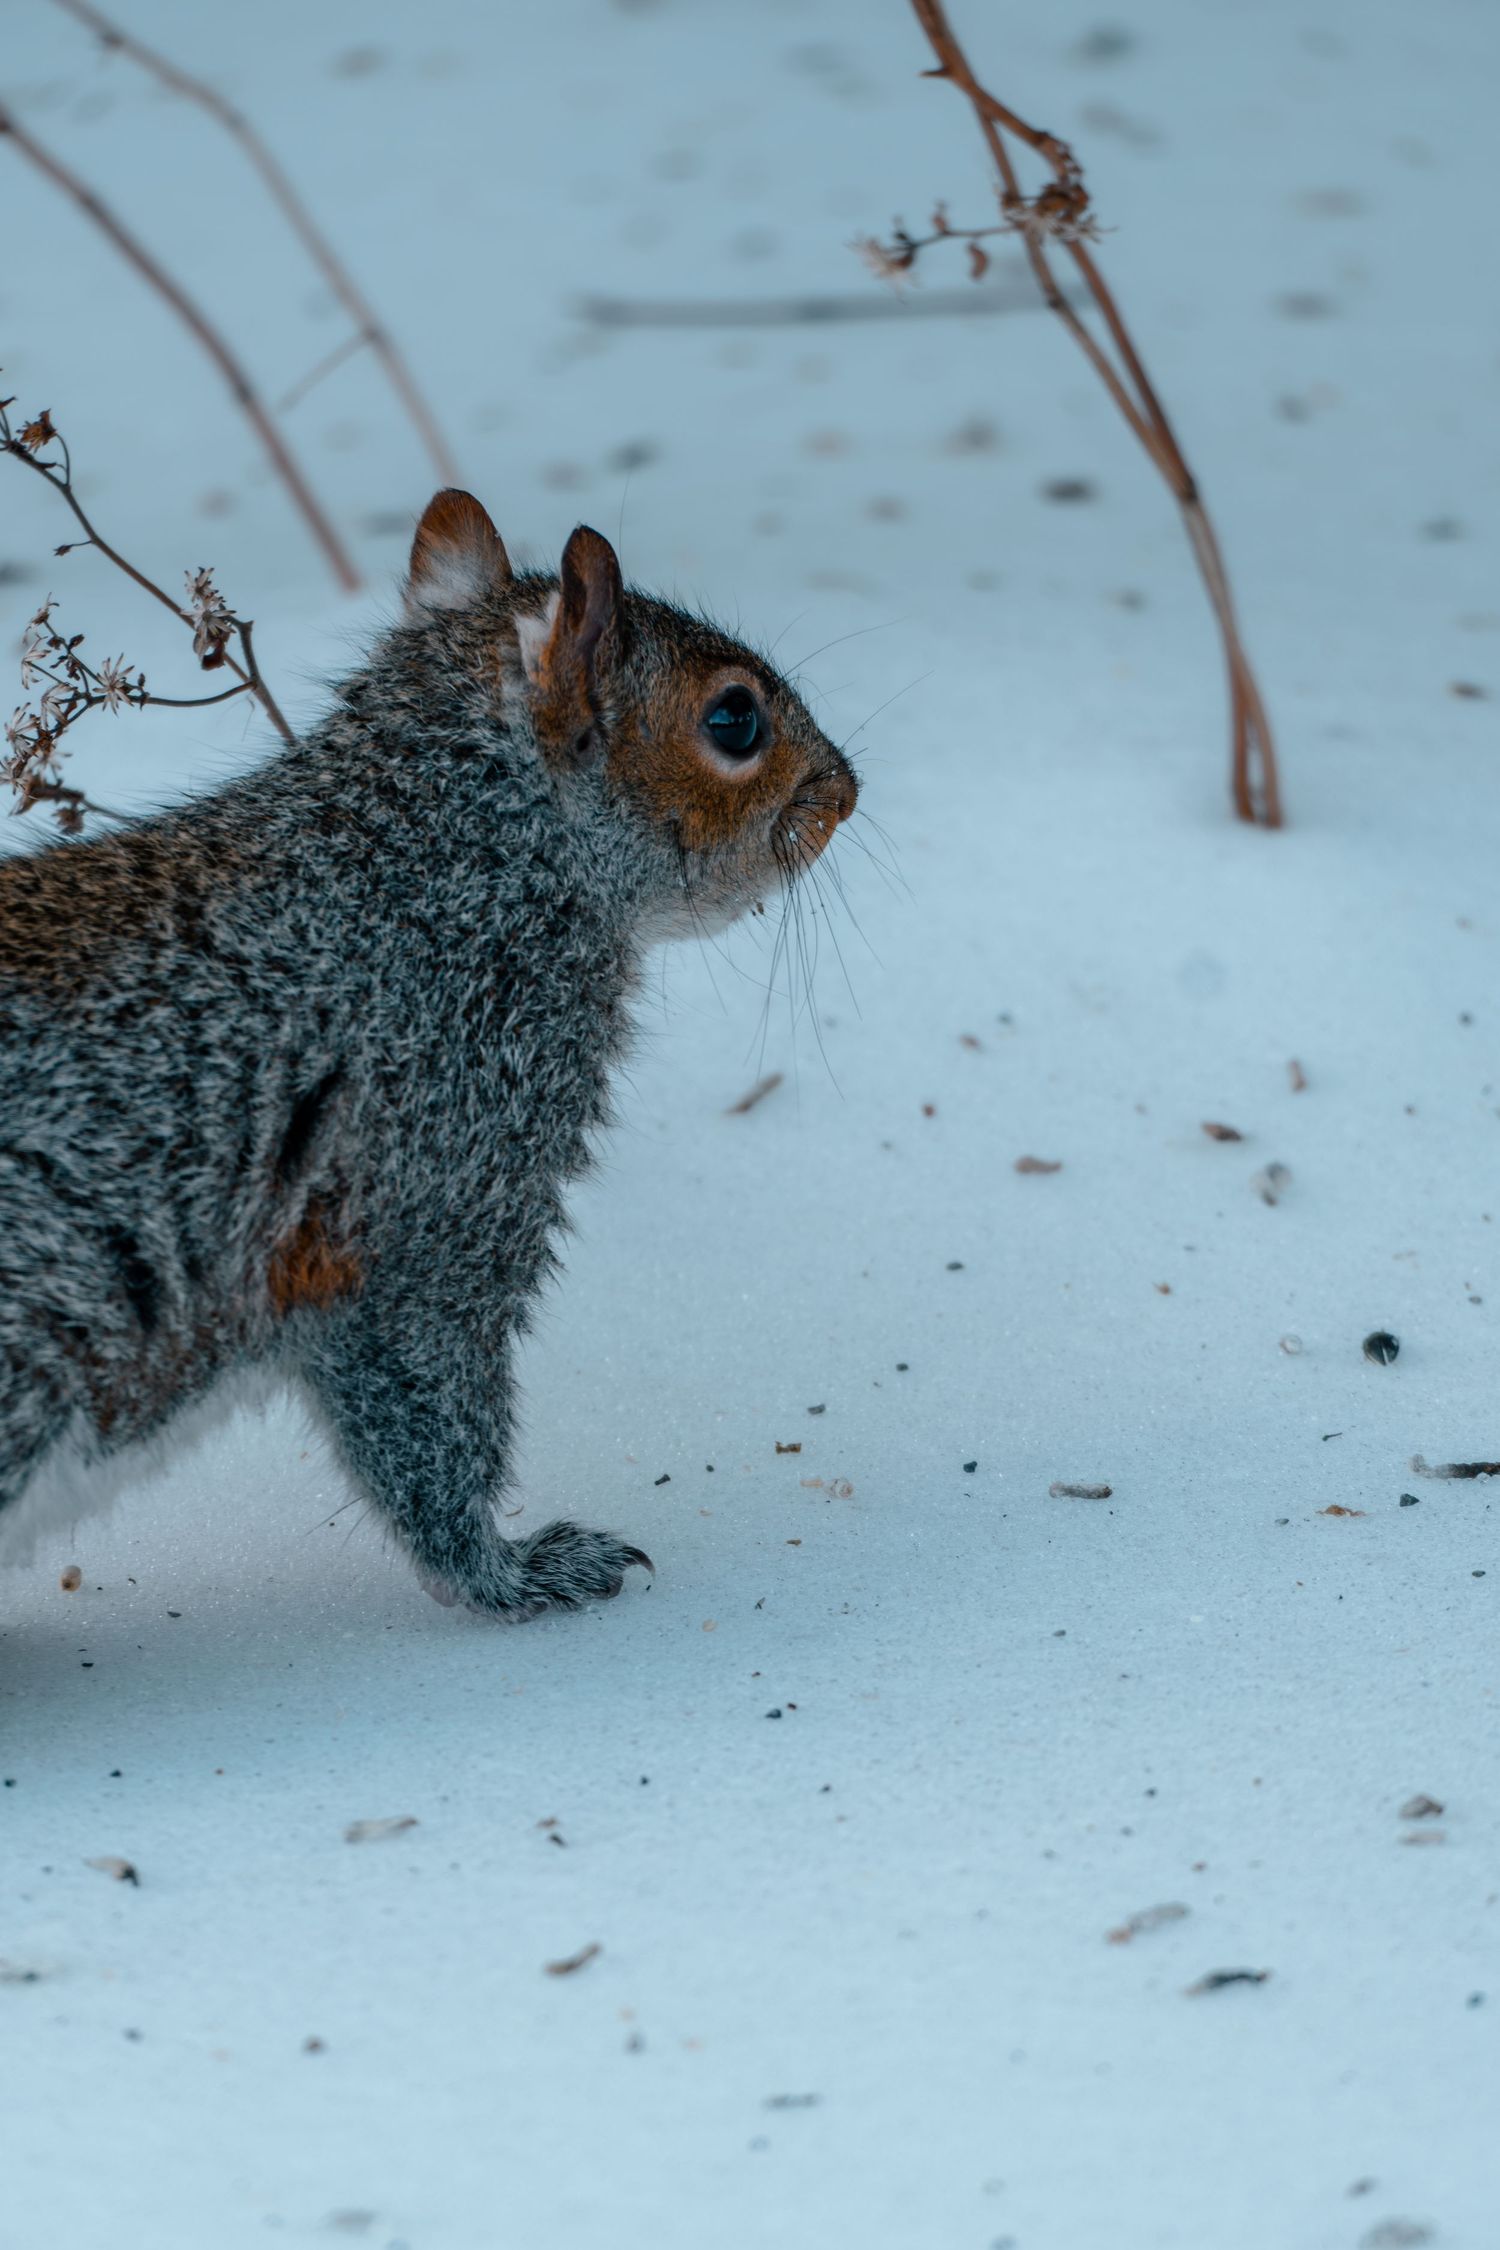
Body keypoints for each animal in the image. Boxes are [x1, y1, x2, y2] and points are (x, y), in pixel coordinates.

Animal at [0, 490, 858, 1618]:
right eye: (733, 720)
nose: (845, 793)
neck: (440, 855)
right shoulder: (450, 1169)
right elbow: (427, 1400)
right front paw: (511, 1571)